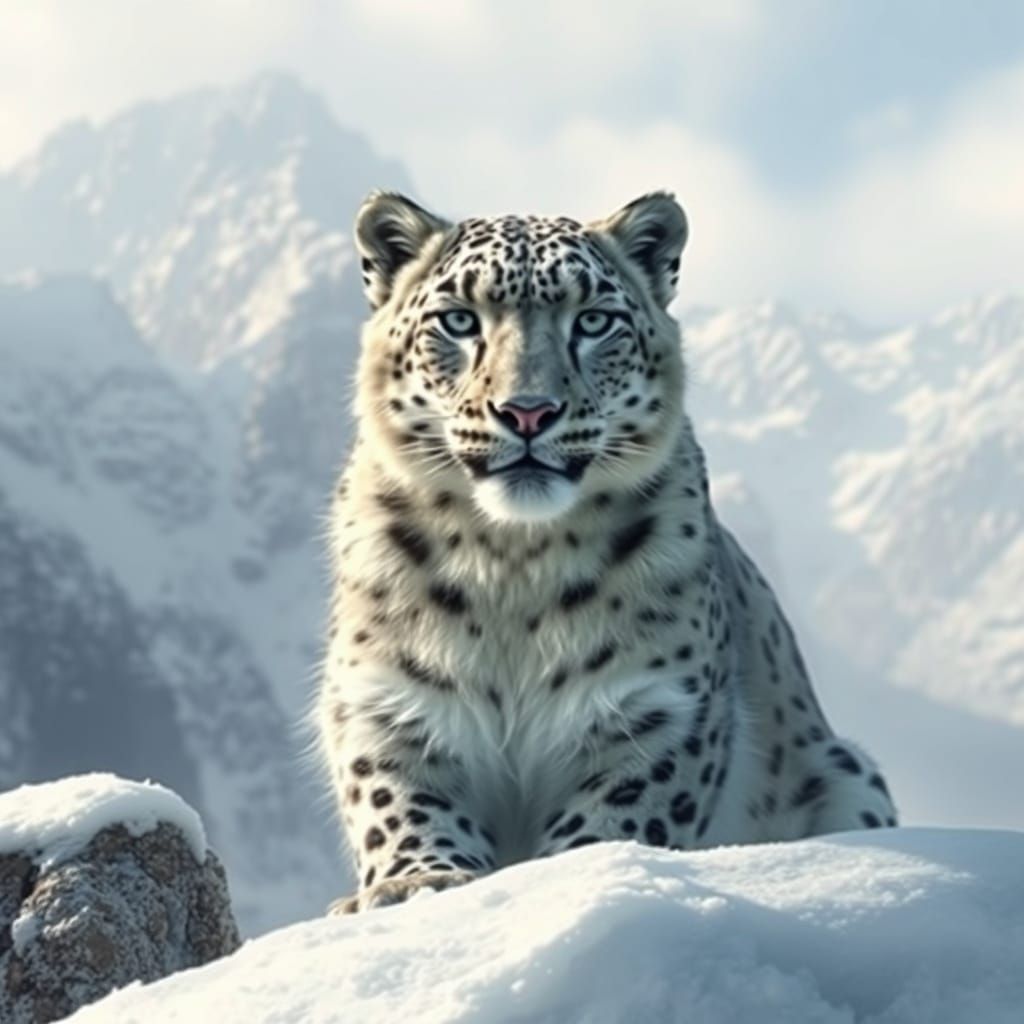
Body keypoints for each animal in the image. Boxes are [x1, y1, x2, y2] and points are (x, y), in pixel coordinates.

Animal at [317, 190, 897, 913]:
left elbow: (612, 820)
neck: (510, 565)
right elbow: (397, 801)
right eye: (458, 320)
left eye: (593, 321)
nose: (528, 411)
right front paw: (419, 881)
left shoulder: (653, 710)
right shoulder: (389, 702)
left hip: (847, 772)